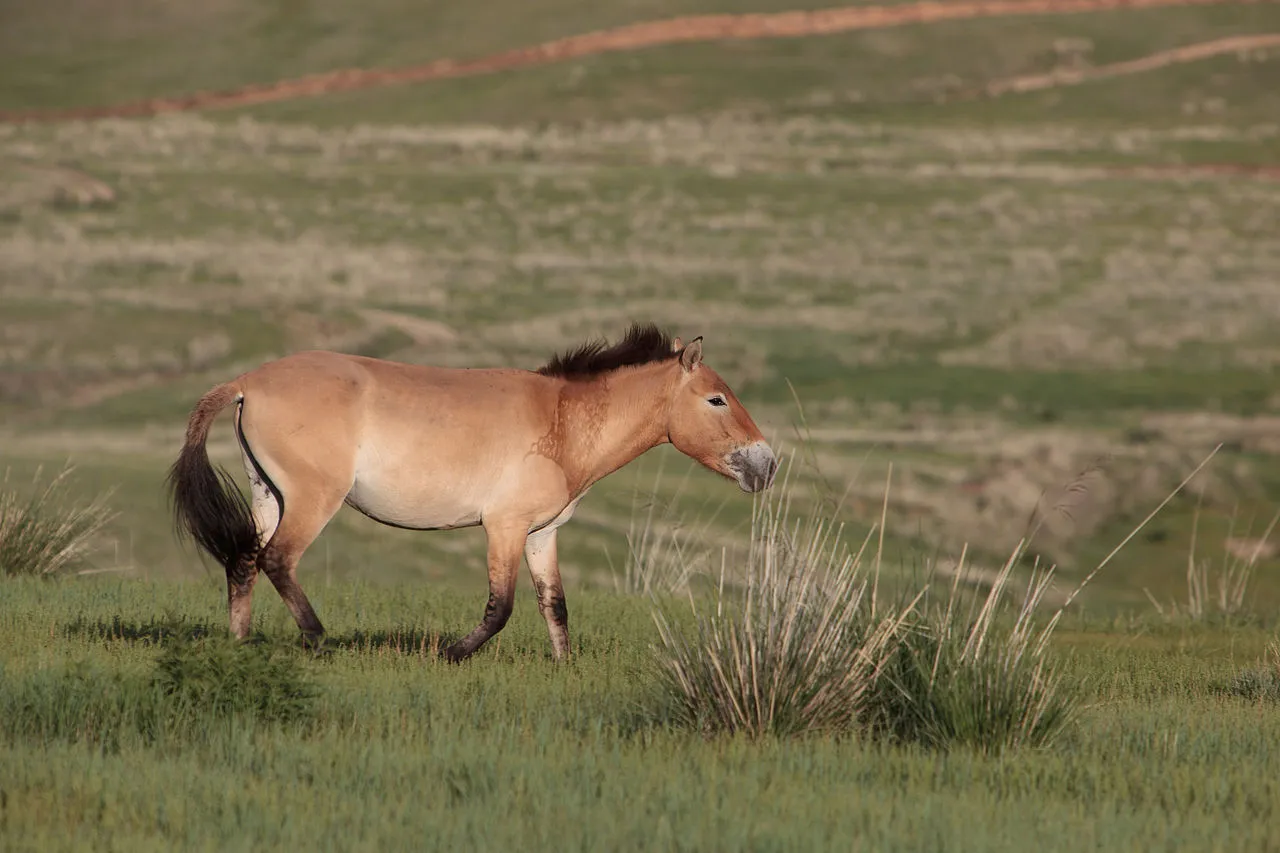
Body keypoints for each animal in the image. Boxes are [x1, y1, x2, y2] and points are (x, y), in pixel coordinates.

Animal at [166, 323, 777, 661]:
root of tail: (247, 383)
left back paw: (240, 643)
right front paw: (450, 654)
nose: (767, 464)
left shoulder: (541, 534)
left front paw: (564, 667)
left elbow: (555, 605)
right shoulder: (504, 528)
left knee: (244, 561)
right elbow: (499, 607)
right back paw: (318, 640)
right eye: (717, 399)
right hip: (313, 501)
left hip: (268, 495)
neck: (563, 420)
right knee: (277, 560)